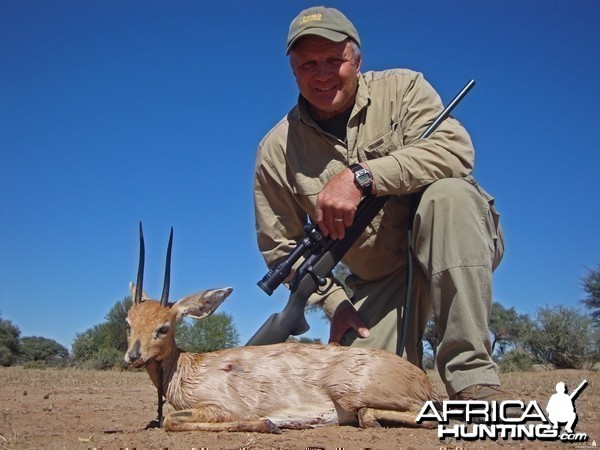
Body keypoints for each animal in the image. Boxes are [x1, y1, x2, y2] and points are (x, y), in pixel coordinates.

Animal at [125, 225, 436, 432]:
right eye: (128, 323)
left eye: (164, 327)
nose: (133, 356)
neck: (189, 368)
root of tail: (422, 379)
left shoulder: (218, 408)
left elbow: (170, 421)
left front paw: (268, 423)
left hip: (355, 394)